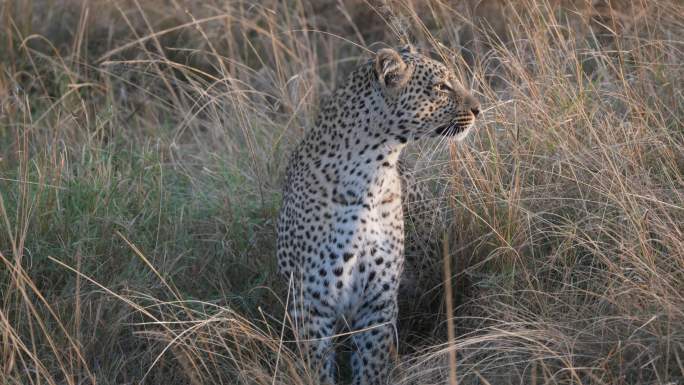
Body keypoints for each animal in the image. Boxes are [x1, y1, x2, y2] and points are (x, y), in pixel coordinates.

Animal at [276, 45, 478, 384]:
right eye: (441, 86)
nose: (478, 109)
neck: (372, 175)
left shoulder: (378, 301)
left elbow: (371, 364)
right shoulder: (311, 305)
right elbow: (318, 369)